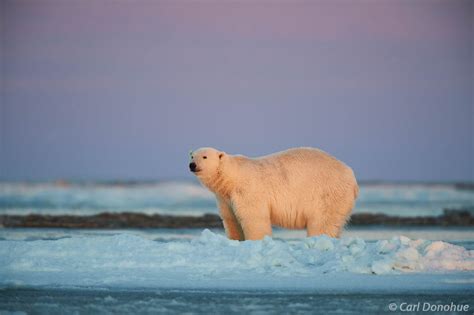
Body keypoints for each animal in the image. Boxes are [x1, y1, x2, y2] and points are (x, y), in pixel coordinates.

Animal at [189, 148, 360, 242]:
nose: (192, 165)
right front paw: (236, 240)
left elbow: (254, 217)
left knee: (323, 222)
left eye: (204, 156)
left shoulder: (249, 191)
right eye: (192, 155)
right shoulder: (225, 198)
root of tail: (352, 176)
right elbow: (231, 219)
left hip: (328, 194)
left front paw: (255, 241)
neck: (232, 177)